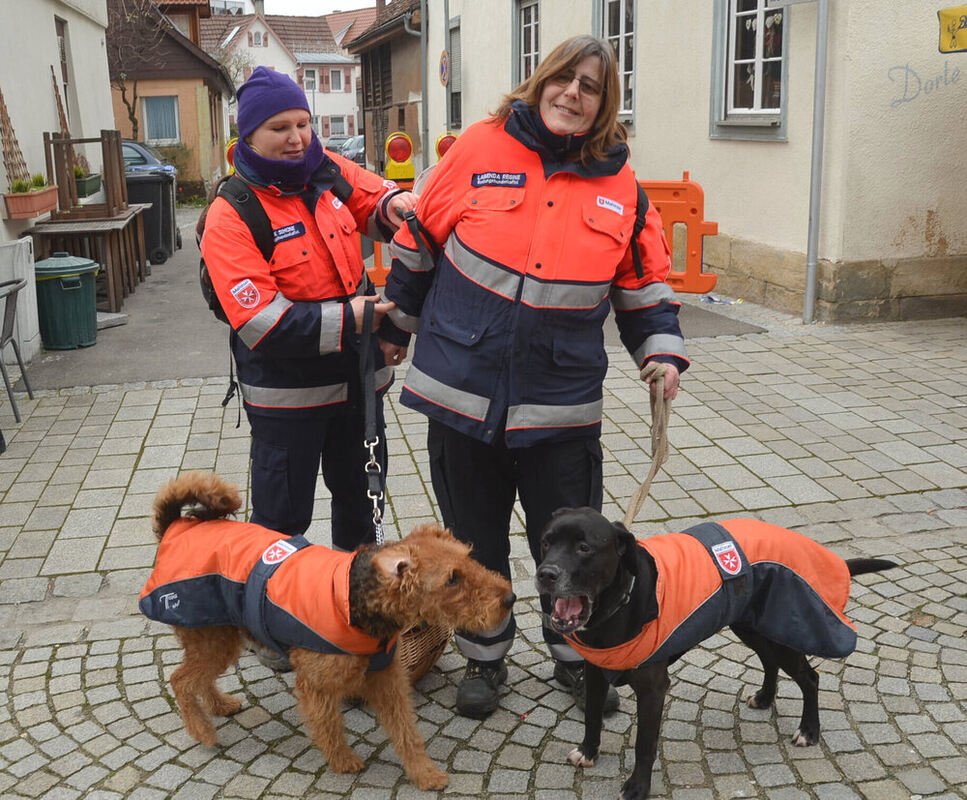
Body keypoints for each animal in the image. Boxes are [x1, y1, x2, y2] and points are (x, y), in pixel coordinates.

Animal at [532, 510, 896, 796]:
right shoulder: (595, 672)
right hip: (751, 627)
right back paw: (765, 697)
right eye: (546, 543)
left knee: (810, 677)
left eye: (584, 547)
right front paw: (588, 752)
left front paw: (637, 788)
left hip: (781, 634)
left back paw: (809, 730)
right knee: (770, 663)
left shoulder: (653, 689)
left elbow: (644, 746)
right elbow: (592, 717)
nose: (545, 574)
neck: (621, 601)